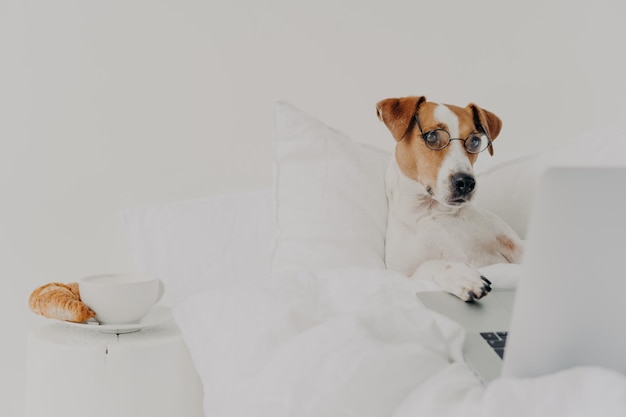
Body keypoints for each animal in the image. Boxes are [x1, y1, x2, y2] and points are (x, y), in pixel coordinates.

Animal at [376, 96, 520, 300]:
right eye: (431, 137)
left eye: (475, 141)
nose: (466, 182)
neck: (436, 212)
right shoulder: (404, 275)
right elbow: (428, 264)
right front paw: (461, 275)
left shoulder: (515, 245)